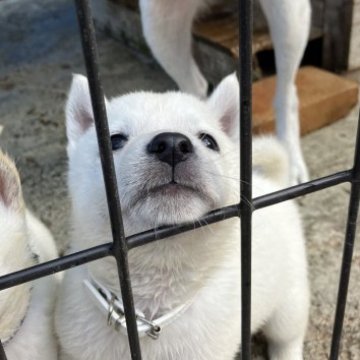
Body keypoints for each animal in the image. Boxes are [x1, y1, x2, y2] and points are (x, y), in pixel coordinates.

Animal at [54, 74, 308, 360]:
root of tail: (272, 183)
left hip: (289, 304)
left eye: (209, 141)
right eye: (114, 140)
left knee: (287, 338)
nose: (173, 145)